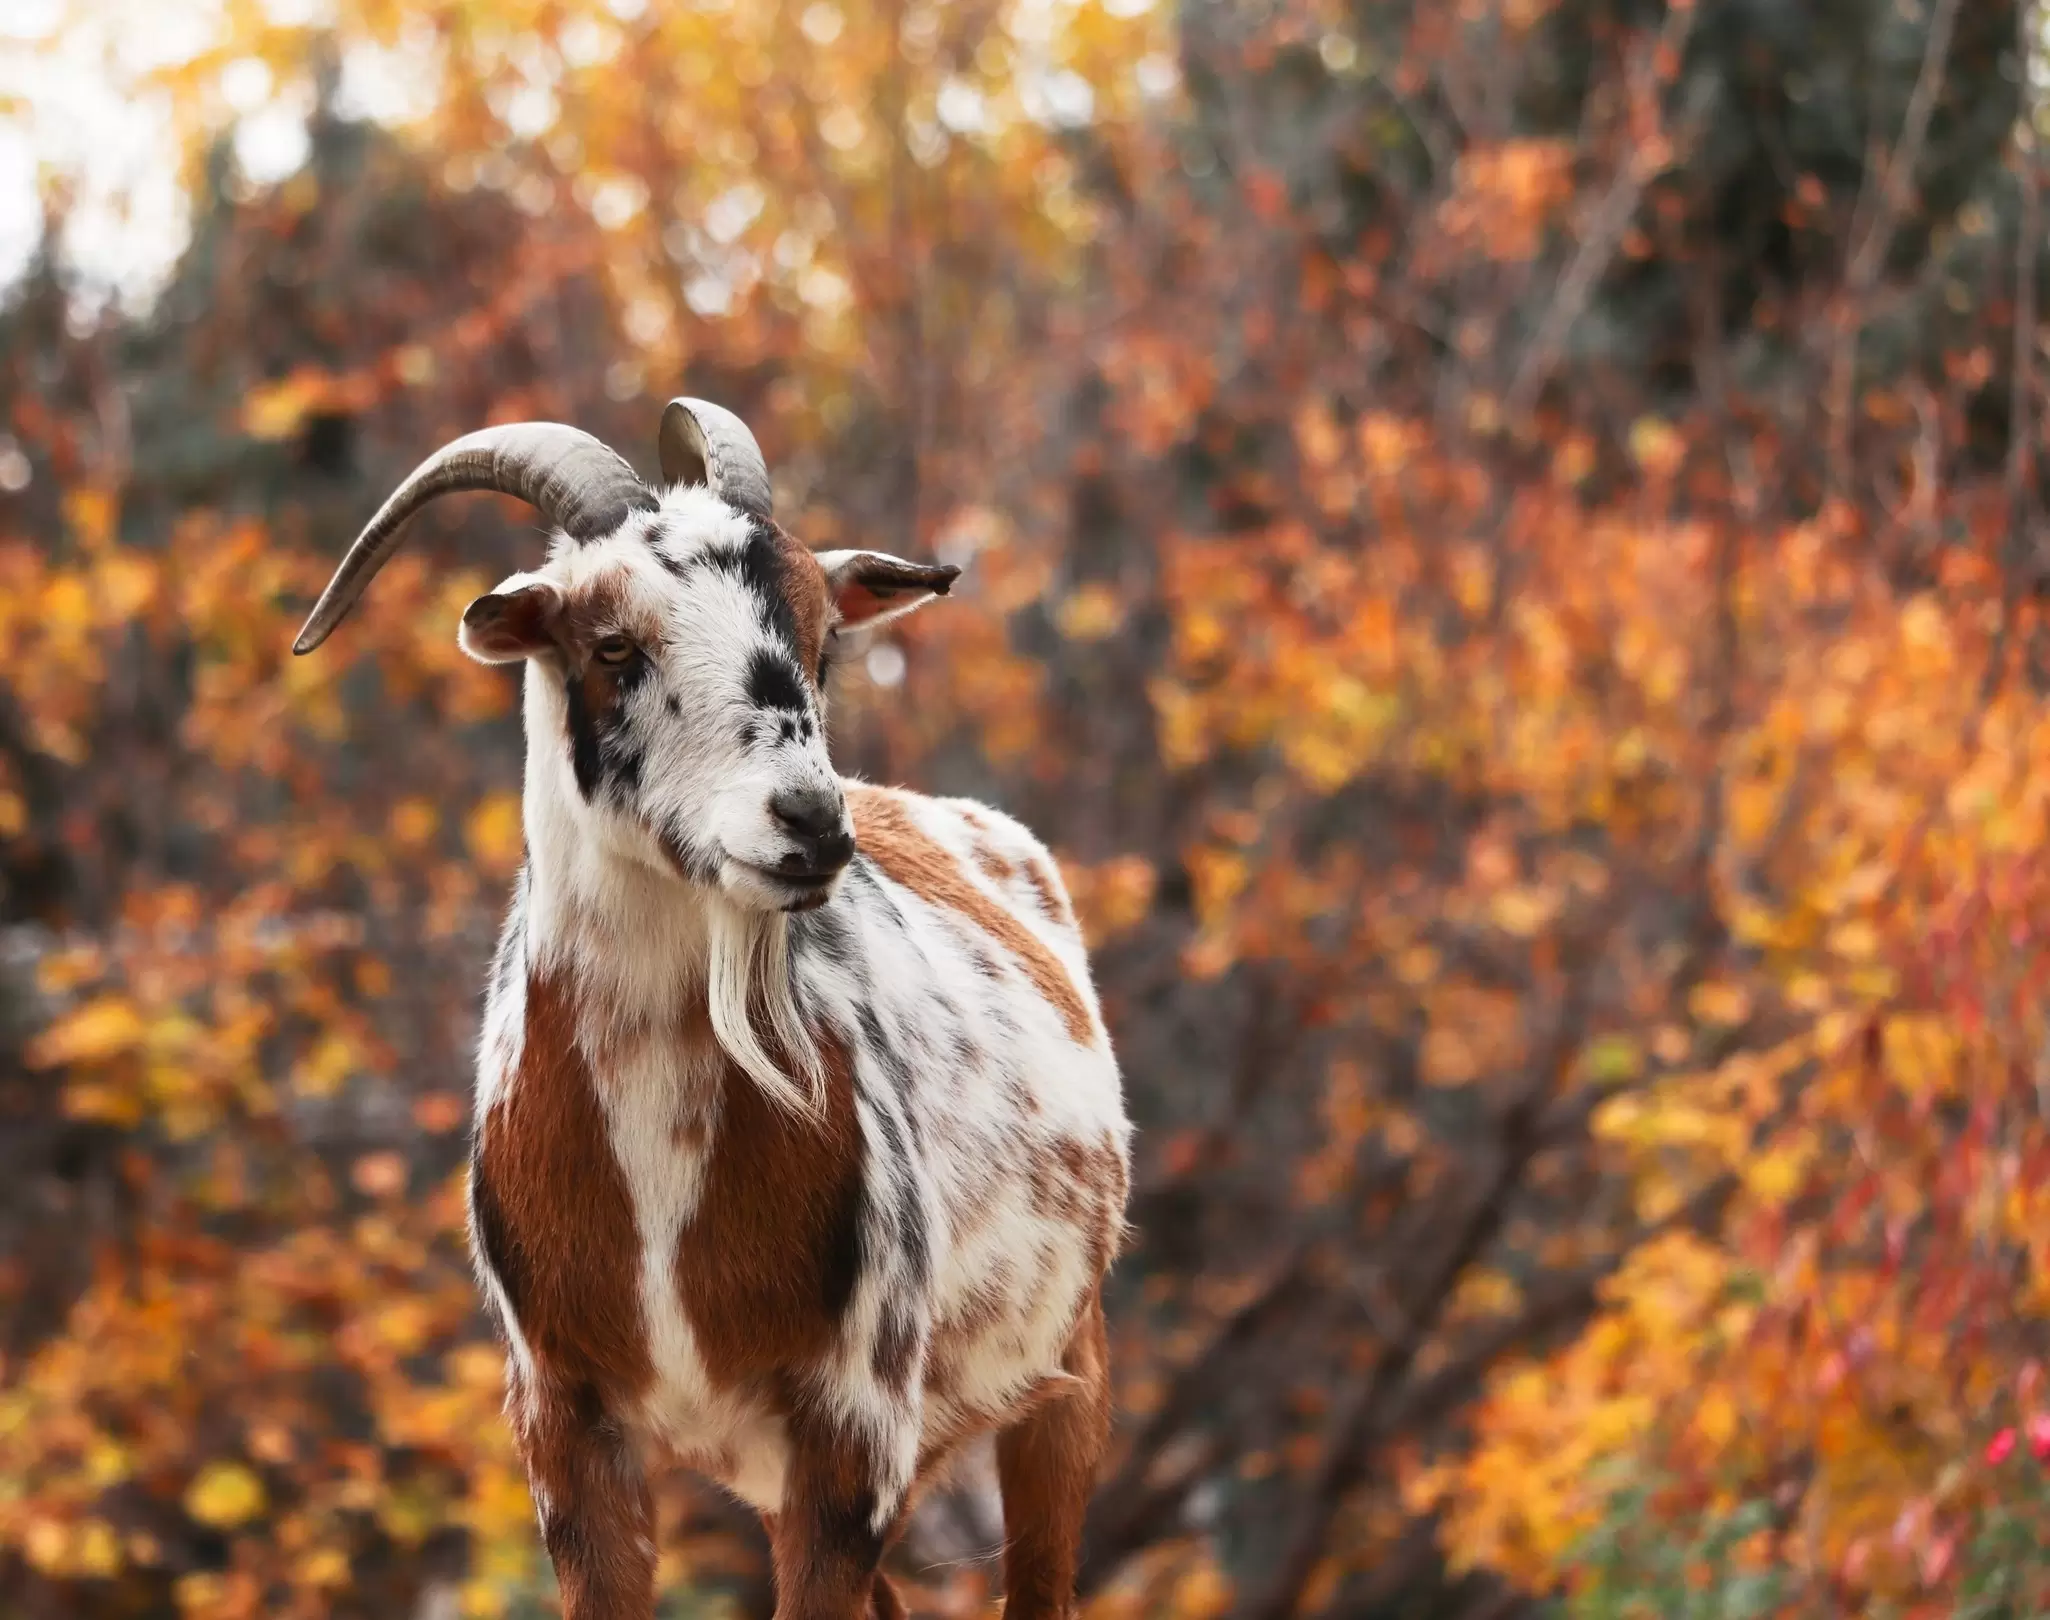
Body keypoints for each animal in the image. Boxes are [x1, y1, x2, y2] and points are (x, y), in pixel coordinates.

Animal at [294, 401, 1131, 1620]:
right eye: (611, 644)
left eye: (824, 638)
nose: (810, 823)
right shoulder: (563, 1421)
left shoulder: (852, 1426)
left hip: (1067, 1371)